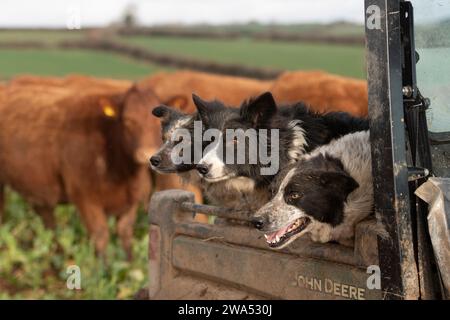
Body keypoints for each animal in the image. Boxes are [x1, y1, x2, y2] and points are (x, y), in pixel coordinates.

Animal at [0, 83, 162, 258]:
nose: (145, 153)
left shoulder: (131, 201)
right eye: (128, 121)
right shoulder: (85, 198)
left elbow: (125, 235)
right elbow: (100, 236)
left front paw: (130, 264)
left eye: (160, 124)